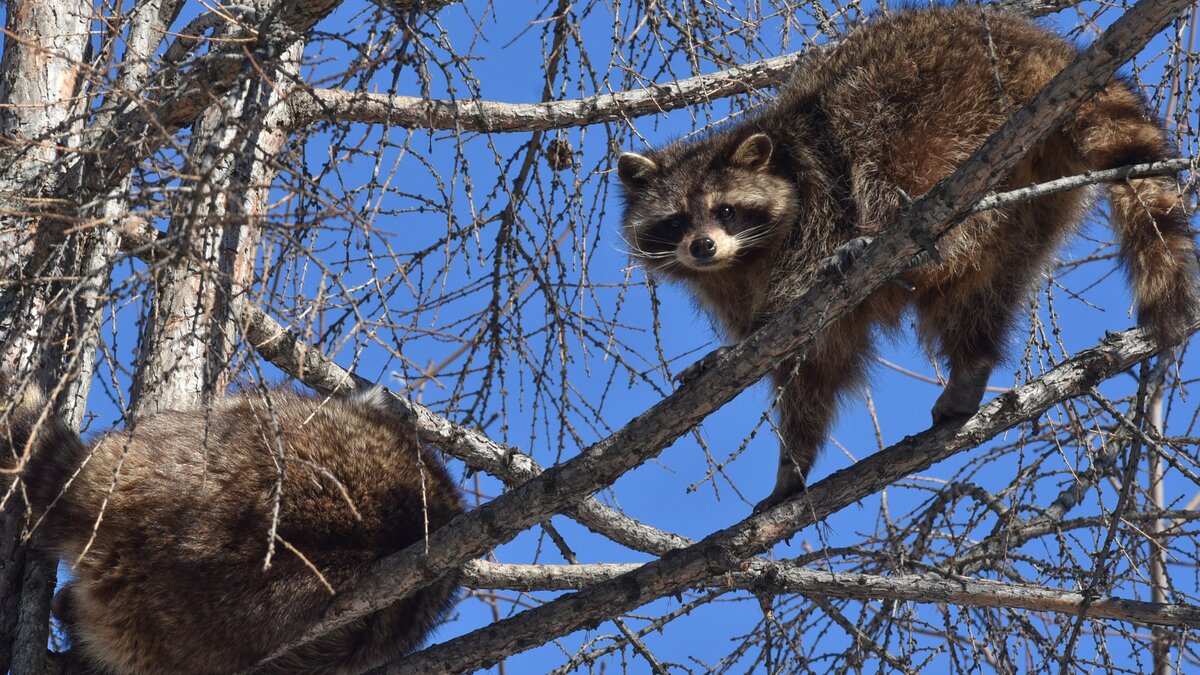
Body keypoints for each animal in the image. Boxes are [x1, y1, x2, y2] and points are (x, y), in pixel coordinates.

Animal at [619, 5, 1200, 509]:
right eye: (677, 221)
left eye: (726, 210)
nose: (702, 246)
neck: (744, 257)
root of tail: (1042, 48)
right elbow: (813, 371)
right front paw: (793, 460)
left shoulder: (817, 204)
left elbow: (806, 322)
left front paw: (741, 347)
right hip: (1036, 191)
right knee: (980, 288)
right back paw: (971, 363)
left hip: (947, 99)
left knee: (880, 151)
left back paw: (906, 244)